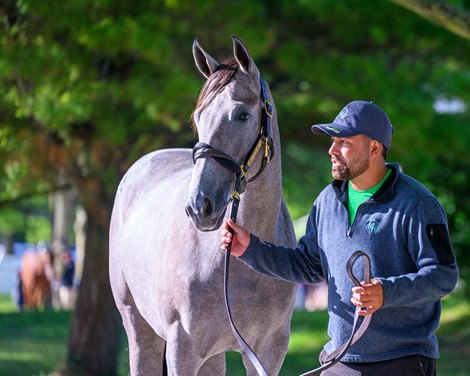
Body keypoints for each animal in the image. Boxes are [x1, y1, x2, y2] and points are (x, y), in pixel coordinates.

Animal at [108, 36, 296, 376]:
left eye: (242, 115)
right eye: (199, 117)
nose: (199, 206)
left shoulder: (268, 352)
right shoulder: (183, 349)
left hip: (212, 356)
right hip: (139, 328)